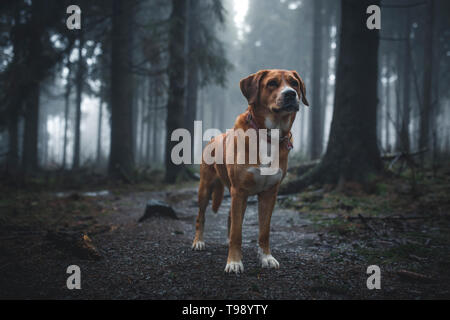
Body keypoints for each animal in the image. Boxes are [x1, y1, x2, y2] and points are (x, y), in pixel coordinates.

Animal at [192, 69, 308, 272]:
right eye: (272, 83)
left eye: (294, 83)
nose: (290, 94)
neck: (269, 135)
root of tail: (214, 138)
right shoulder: (239, 191)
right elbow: (237, 232)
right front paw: (234, 262)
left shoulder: (269, 193)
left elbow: (264, 231)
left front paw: (266, 257)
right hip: (205, 188)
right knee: (202, 216)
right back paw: (198, 241)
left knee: (230, 217)